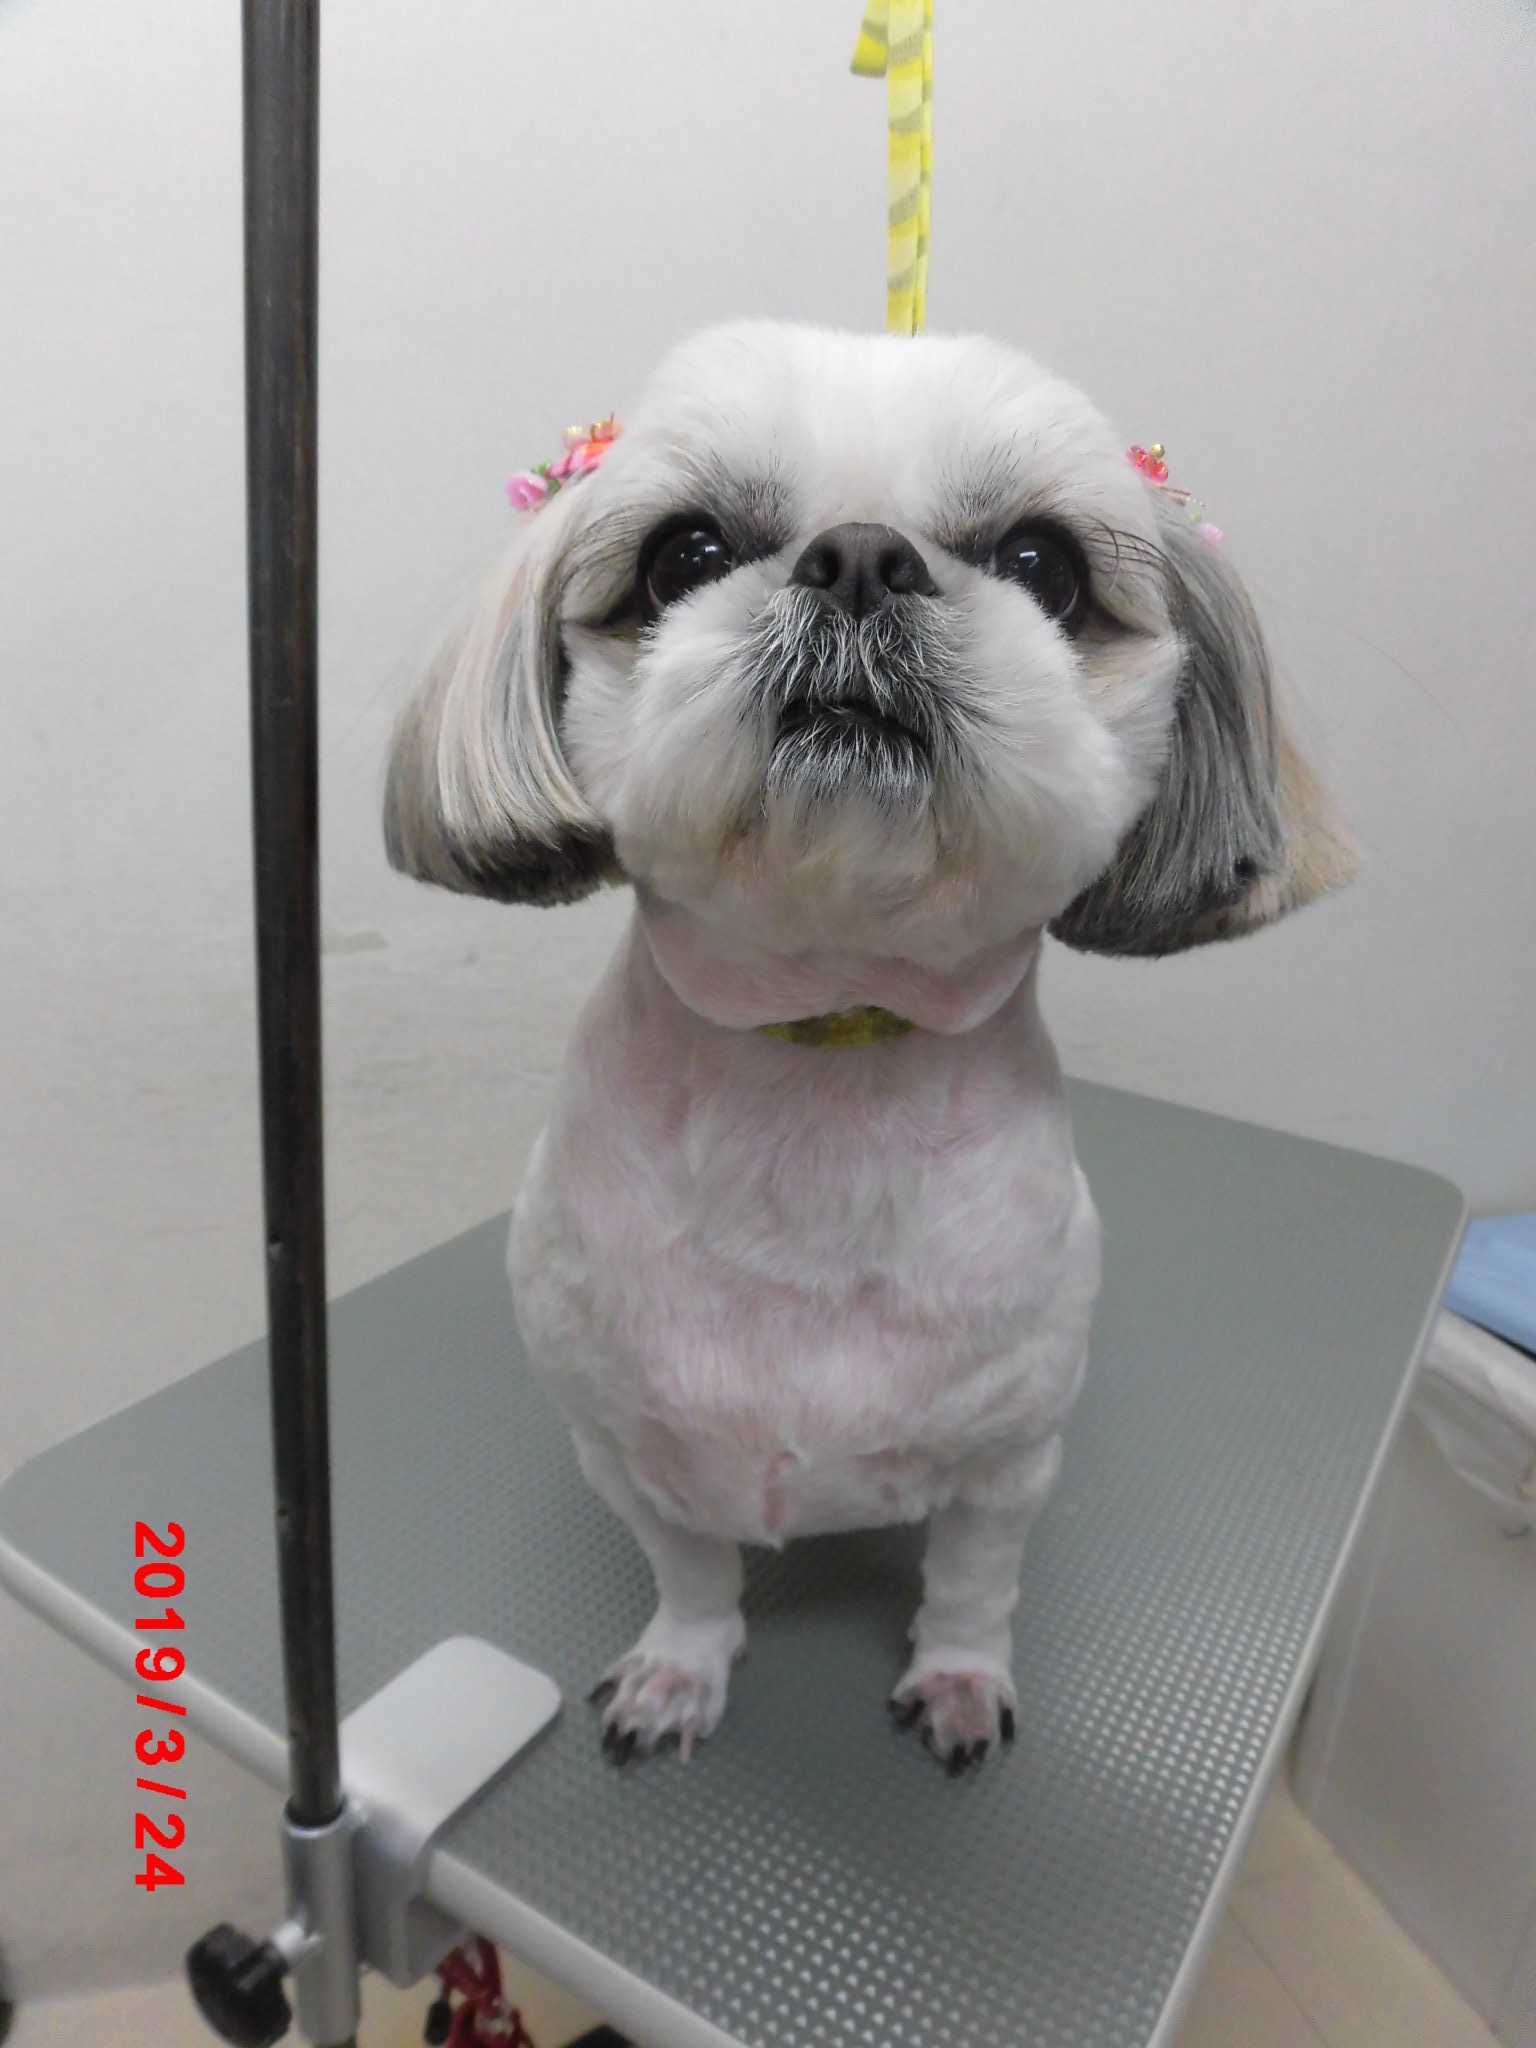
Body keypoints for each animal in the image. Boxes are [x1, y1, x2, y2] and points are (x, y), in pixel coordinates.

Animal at [384, 322, 1355, 1770]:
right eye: (684, 552)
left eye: (1043, 565)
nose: (856, 557)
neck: (823, 1040)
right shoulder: (623, 1447)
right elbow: (689, 1572)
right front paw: (682, 1667)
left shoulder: (1008, 1461)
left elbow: (973, 1584)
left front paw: (957, 1678)